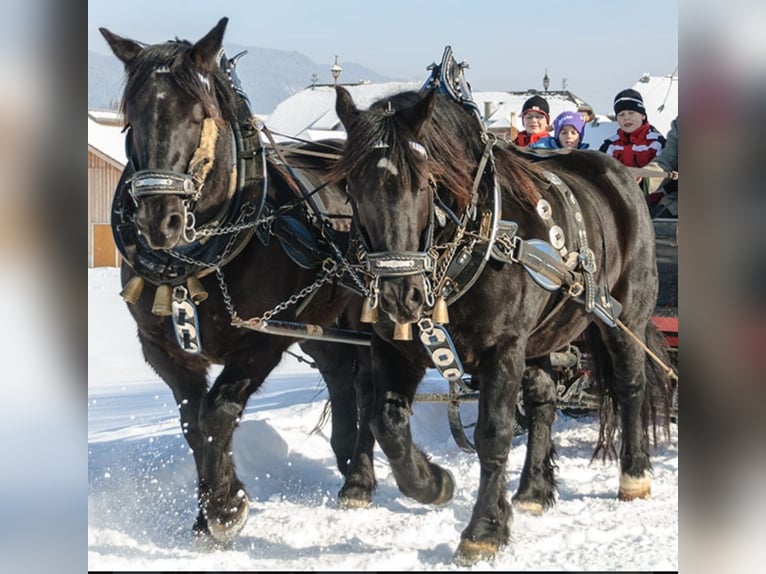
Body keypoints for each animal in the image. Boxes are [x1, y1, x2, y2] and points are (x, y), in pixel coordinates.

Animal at [100, 18, 376, 548]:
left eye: (198, 115)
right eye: (132, 117)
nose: (159, 220)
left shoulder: (260, 340)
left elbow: (217, 414)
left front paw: (227, 508)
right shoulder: (163, 347)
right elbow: (193, 422)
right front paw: (205, 512)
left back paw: (361, 476)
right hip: (318, 321)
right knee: (340, 374)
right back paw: (348, 457)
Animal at [332, 86, 676, 568]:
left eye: (425, 182)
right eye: (350, 185)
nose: (401, 295)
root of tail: (620, 177)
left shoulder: (503, 348)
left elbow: (492, 436)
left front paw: (484, 530)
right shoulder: (392, 348)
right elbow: (387, 423)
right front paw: (434, 483)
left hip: (625, 316)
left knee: (630, 386)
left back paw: (634, 474)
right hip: (542, 337)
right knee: (543, 402)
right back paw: (533, 489)